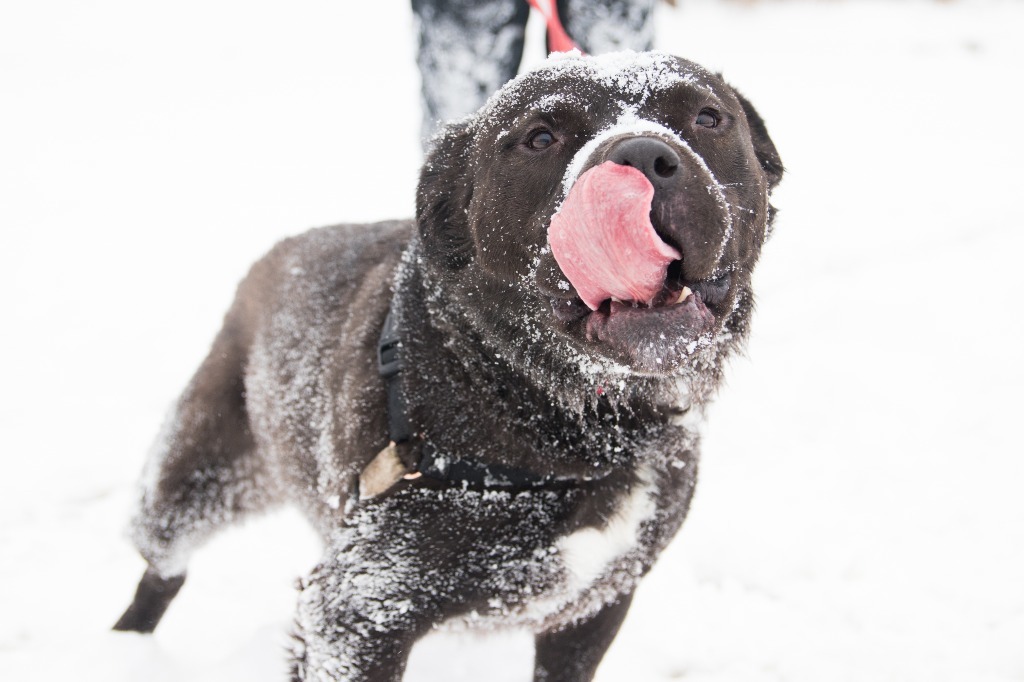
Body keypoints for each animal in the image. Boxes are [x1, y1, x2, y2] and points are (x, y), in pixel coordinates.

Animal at [114, 50, 782, 675]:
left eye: (707, 118)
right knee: (162, 564)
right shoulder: (358, 610)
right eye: (541, 137)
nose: (643, 156)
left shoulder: (596, 603)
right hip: (199, 477)